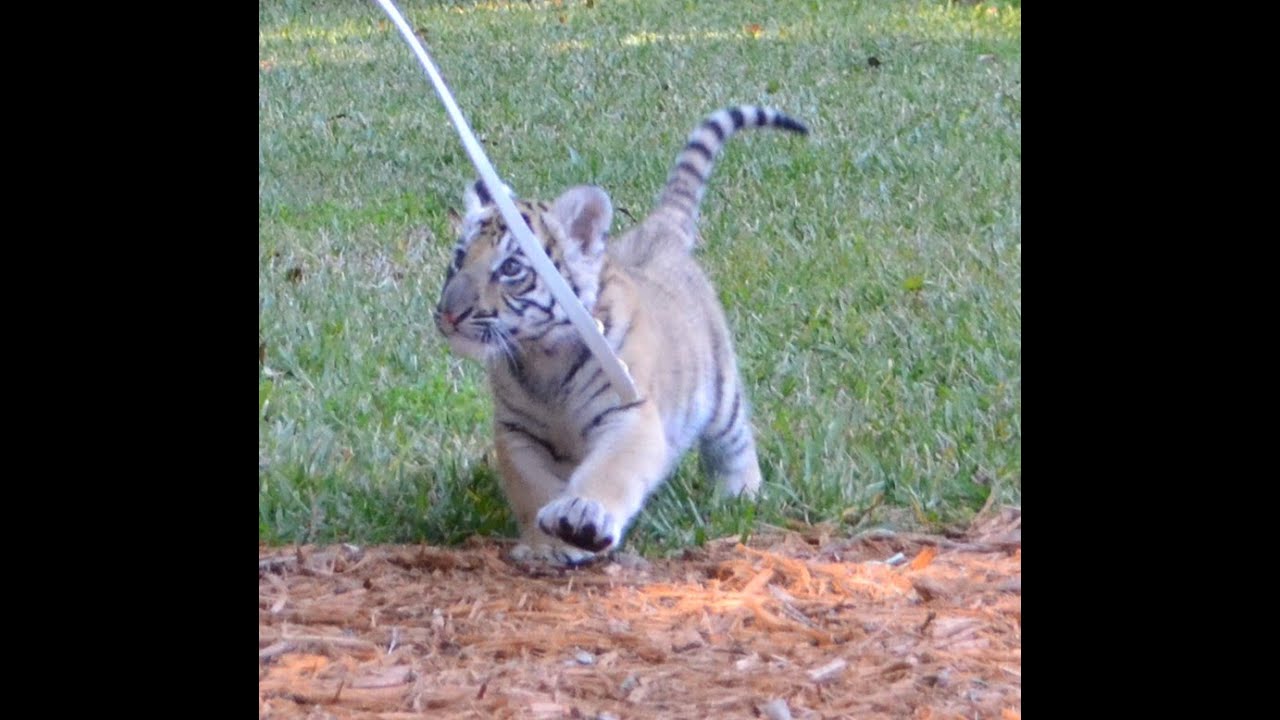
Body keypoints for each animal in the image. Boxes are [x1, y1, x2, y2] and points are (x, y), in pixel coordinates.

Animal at [435, 105, 808, 565]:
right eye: (458, 258)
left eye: (510, 268)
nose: (449, 314)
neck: (541, 355)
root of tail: (658, 232)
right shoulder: (518, 432)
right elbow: (530, 487)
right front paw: (548, 546)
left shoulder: (630, 413)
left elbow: (611, 470)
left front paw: (580, 517)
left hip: (720, 391)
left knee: (734, 440)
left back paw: (741, 495)